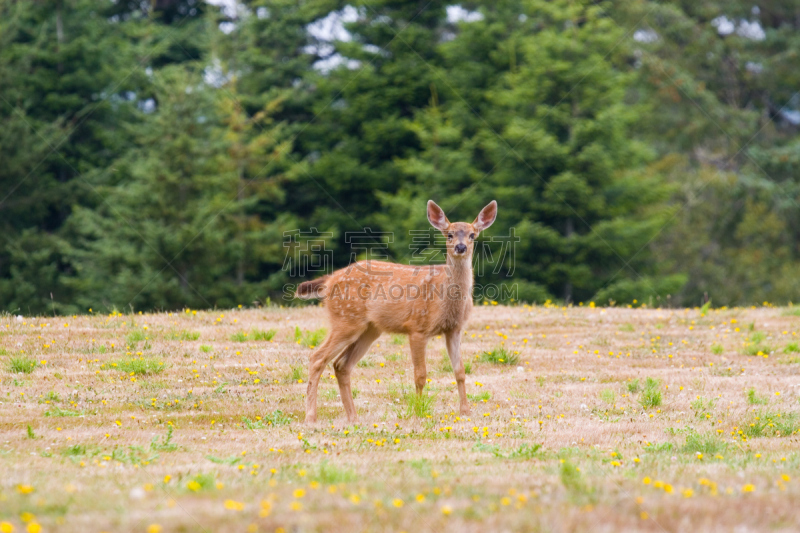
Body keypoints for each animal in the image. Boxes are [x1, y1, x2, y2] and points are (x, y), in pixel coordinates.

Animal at [296, 197, 494, 422]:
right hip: (345, 319)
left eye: (472, 235)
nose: (460, 247)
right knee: (317, 358)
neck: (445, 299)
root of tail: (329, 280)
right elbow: (420, 374)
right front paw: (418, 411)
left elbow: (460, 371)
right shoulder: (417, 327)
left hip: (369, 329)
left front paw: (465, 411)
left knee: (341, 365)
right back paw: (311, 417)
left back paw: (353, 417)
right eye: (449, 234)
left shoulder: (454, 328)